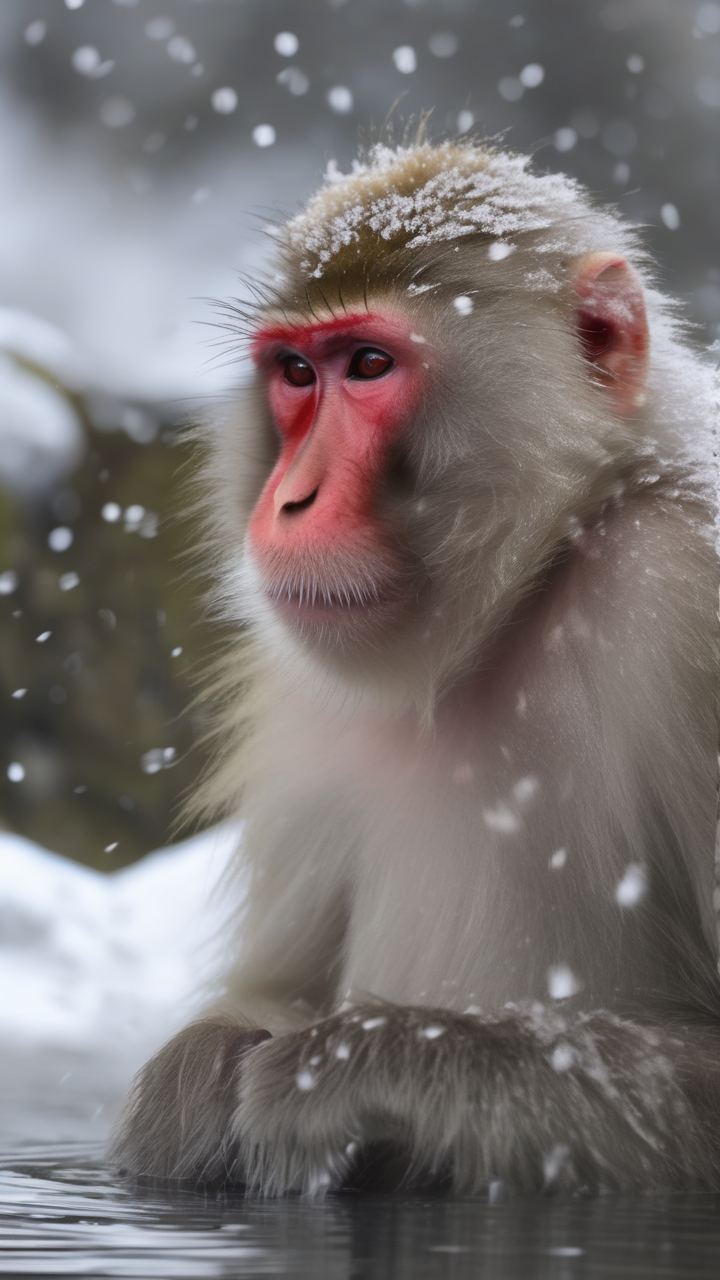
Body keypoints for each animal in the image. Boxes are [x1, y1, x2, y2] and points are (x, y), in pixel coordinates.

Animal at [109, 136, 720, 1196]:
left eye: (367, 364)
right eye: (295, 374)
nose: (290, 500)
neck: (527, 593)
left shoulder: (688, 591)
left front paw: (354, 1068)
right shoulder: (302, 694)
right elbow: (270, 988)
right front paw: (188, 1090)